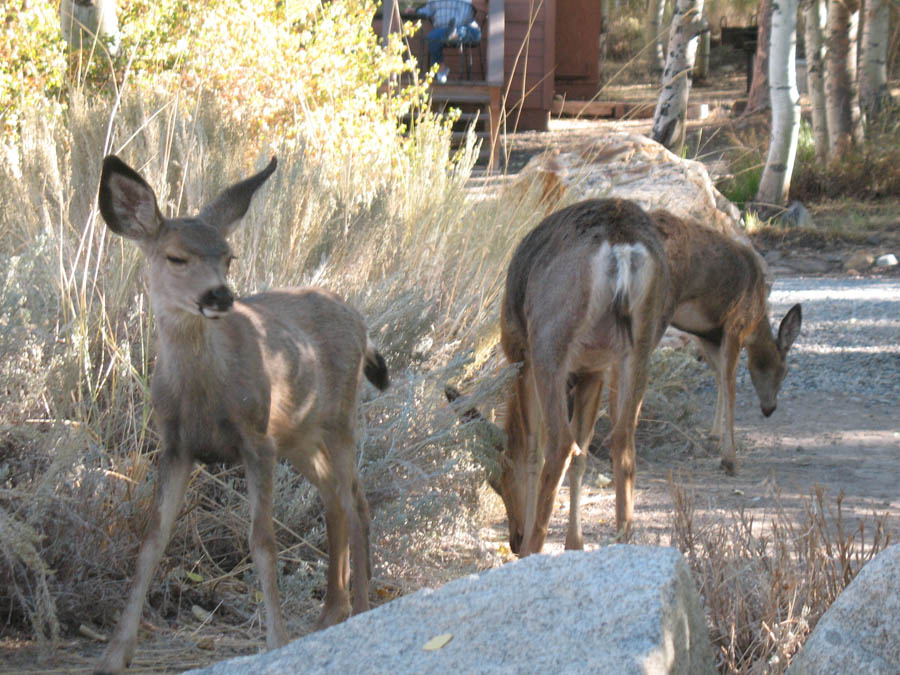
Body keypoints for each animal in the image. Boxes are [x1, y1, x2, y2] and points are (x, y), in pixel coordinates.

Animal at [94, 156, 386, 672]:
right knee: (337, 498)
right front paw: (115, 652)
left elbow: (263, 542)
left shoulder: (256, 440)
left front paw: (275, 642)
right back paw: (330, 612)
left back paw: (359, 610)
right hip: (300, 435)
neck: (203, 394)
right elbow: (151, 542)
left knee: (355, 504)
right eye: (176, 258)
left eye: (227, 257)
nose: (220, 296)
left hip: (339, 419)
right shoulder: (175, 446)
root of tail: (361, 322)